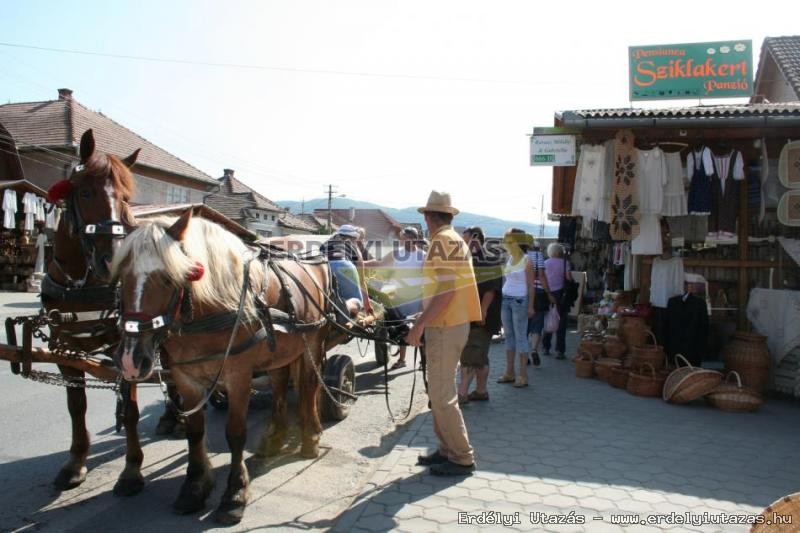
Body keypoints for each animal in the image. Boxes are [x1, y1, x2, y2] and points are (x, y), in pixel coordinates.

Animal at [41, 129, 178, 494]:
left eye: (126, 197)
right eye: (85, 192)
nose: (114, 259)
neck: (81, 283)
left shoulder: (124, 345)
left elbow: (129, 409)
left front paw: (131, 470)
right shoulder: (64, 347)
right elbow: (76, 406)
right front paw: (75, 462)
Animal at [110, 209, 332, 524]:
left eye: (167, 279)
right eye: (121, 277)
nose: (130, 359)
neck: (210, 310)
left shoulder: (238, 376)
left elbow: (235, 433)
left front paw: (234, 494)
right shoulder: (186, 377)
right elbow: (194, 432)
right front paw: (194, 487)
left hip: (312, 342)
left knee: (310, 385)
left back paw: (310, 436)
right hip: (280, 349)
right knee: (279, 382)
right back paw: (274, 438)